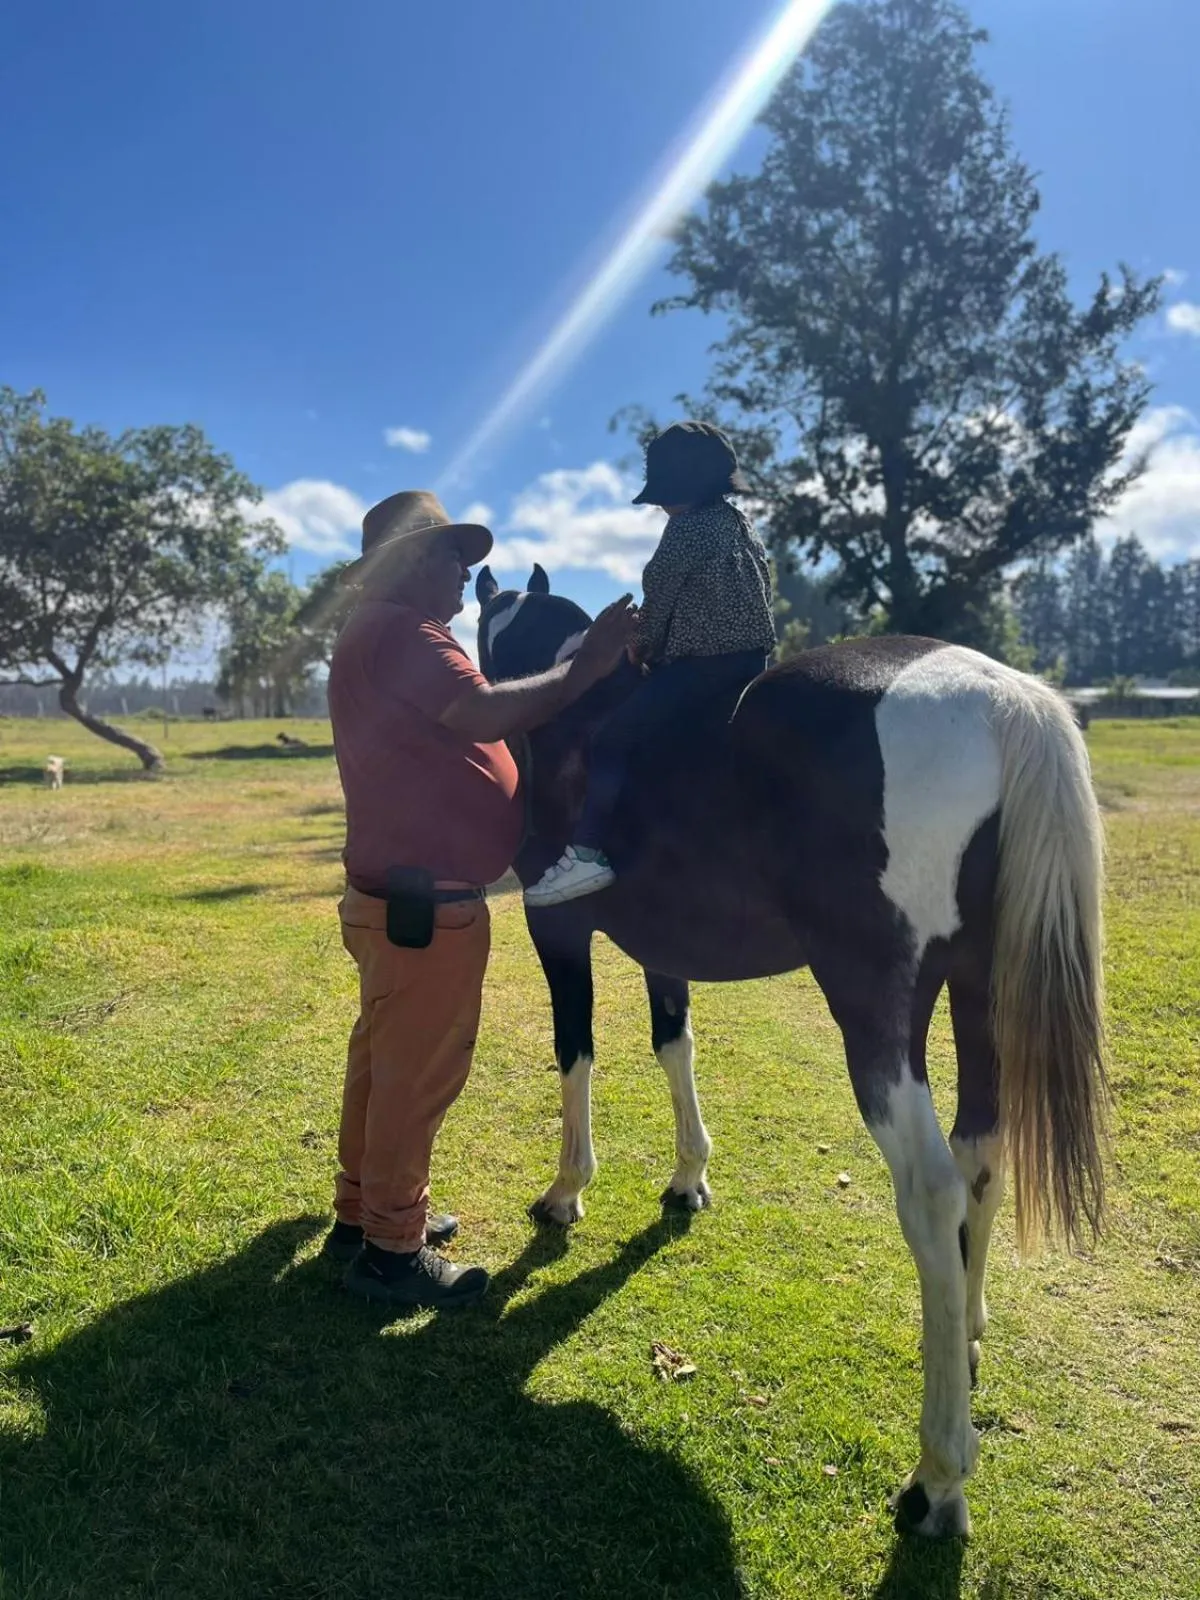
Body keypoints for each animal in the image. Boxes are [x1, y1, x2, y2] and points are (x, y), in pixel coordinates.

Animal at [475, 563, 1108, 1538]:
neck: (575, 709)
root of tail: (1003, 696)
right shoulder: (664, 948)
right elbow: (674, 1046)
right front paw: (688, 1177)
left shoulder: (560, 933)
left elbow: (574, 1052)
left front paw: (567, 1190)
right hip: (979, 994)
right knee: (983, 1156)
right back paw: (961, 1337)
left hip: (877, 1011)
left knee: (932, 1189)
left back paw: (939, 1475)